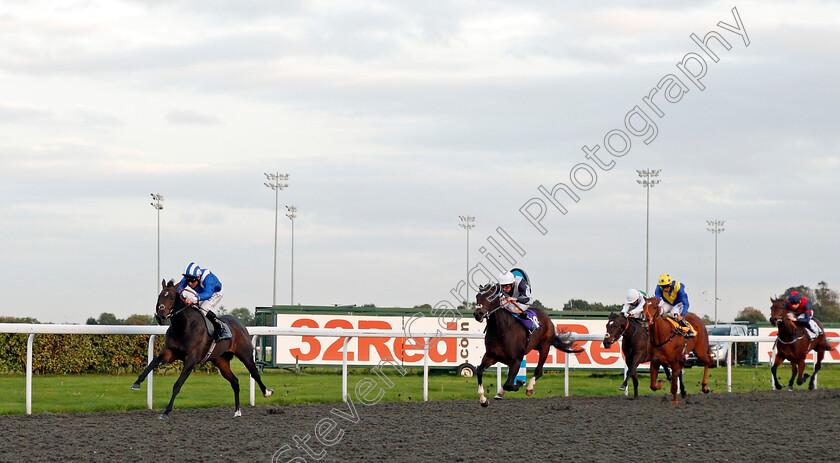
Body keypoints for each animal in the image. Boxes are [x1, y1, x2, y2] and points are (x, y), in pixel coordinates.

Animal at [131, 280, 274, 420]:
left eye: (171, 297)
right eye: (159, 297)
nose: (160, 317)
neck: (184, 326)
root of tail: (241, 325)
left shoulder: (191, 359)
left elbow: (177, 385)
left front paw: (166, 412)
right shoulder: (169, 352)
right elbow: (152, 363)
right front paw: (136, 383)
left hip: (245, 354)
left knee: (254, 373)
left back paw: (267, 392)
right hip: (221, 361)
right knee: (235, 381)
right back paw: (237, 411)